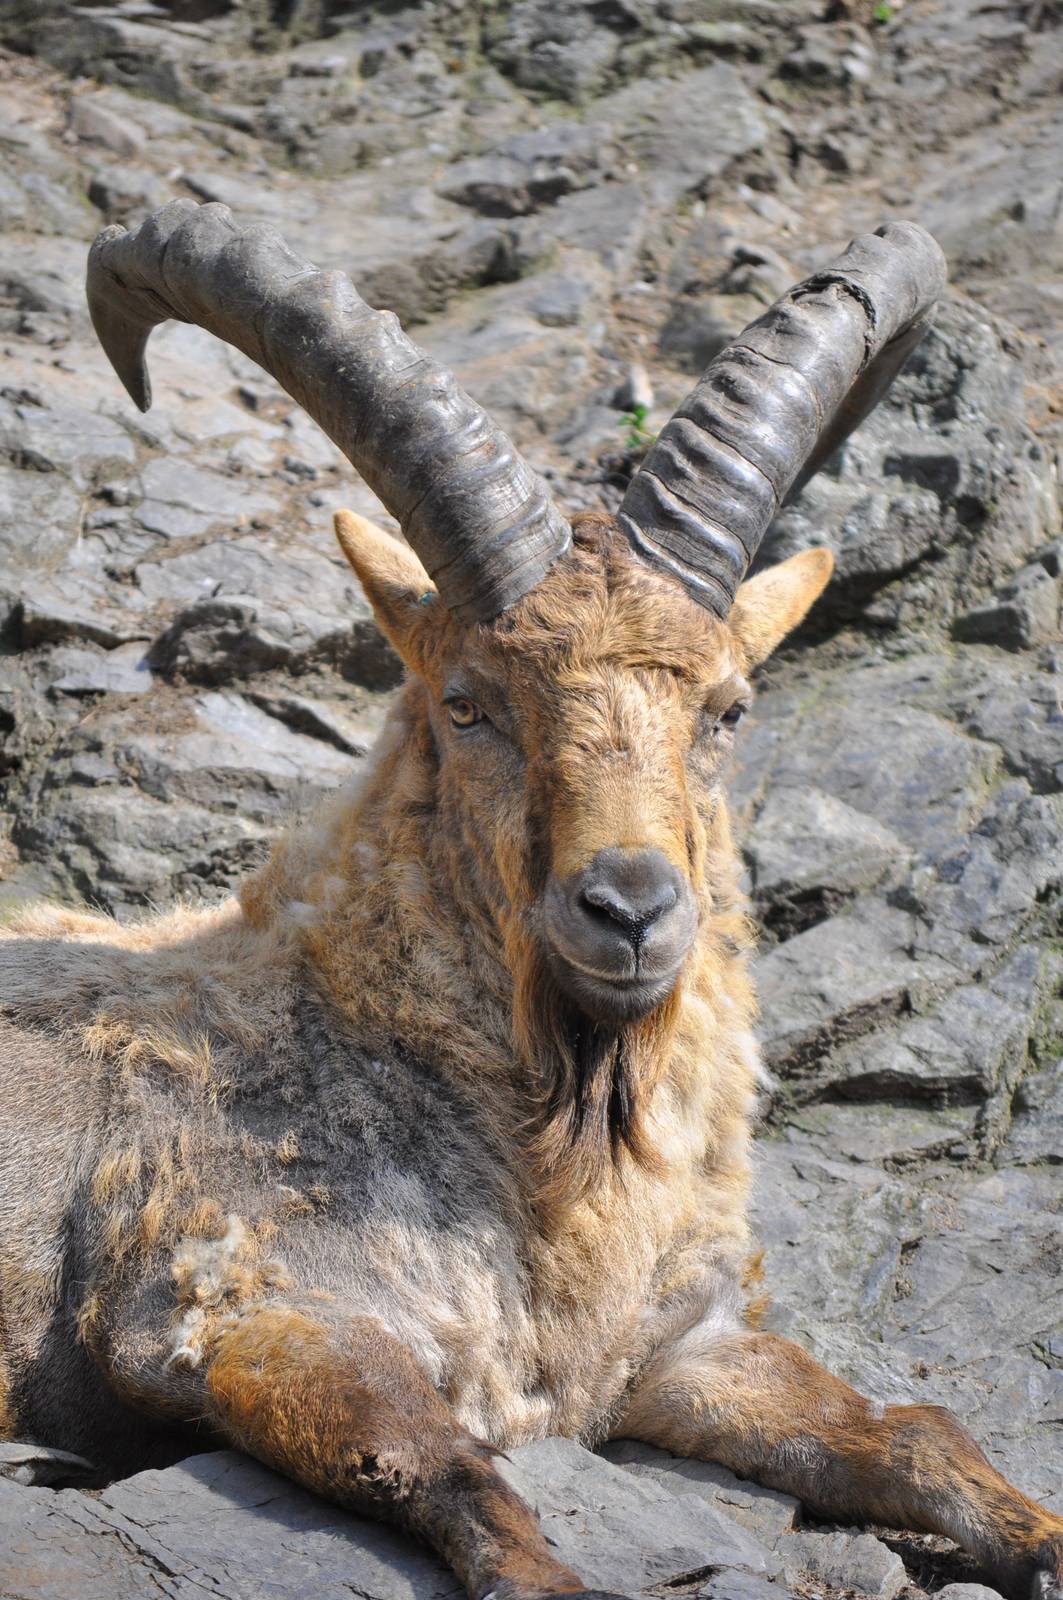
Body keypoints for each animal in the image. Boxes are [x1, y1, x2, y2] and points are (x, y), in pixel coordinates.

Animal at [0, 201, 1059, 1600]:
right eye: (468, 703)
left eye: (729, 707)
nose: (628, 906)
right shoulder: (235, 1305)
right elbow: (460, 1479)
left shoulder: (670, 1349)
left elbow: (912, 1431)